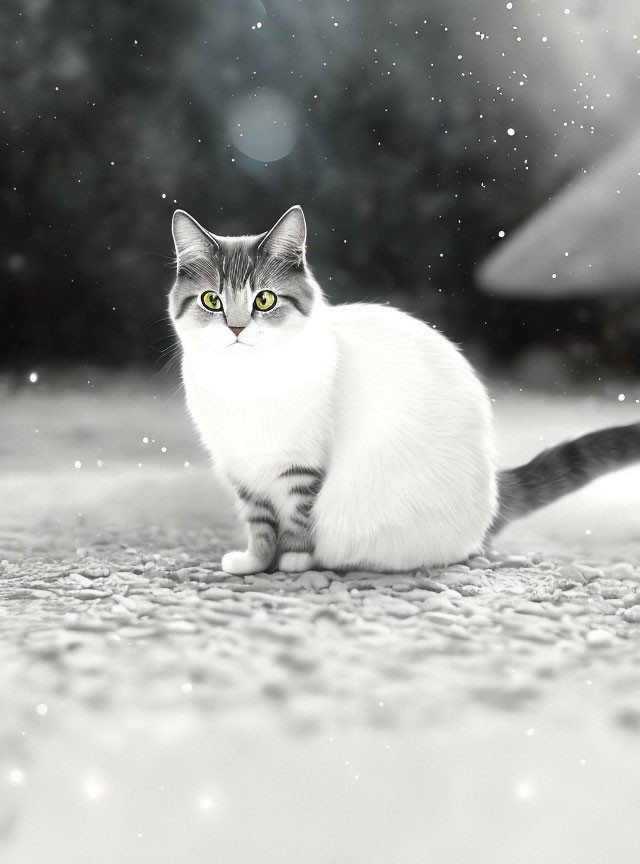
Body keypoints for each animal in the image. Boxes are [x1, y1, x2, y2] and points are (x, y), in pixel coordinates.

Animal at [170, 204, 640, 572]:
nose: (236, 328)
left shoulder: (301, 467)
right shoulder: (242, 469)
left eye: (264, 300)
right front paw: (255, 562)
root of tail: (493, 490)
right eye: (212, 300)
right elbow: (261, 525)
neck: (245, 383)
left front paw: (296, 560)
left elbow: (298, 519)